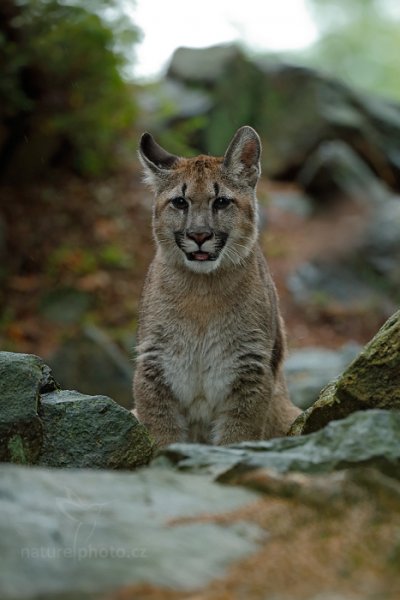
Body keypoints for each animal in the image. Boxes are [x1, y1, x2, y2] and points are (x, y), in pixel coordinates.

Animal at [134, 126, 300, 446]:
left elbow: (237, 438)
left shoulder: (250, 367)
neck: (202, 289)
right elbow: (161, 433)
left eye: (221, 201)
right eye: (180, 202)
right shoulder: (154, 363)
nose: (199, 235)